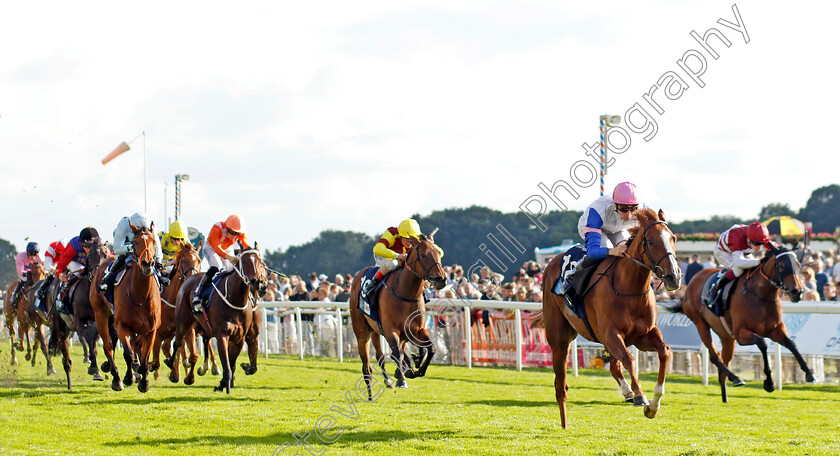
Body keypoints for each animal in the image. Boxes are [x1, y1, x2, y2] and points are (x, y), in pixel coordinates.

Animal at [94, 225, 162, 392]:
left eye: (154, 241)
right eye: (135, 242)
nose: (147, 264)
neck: (140, 296)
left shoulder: (150, 330)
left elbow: (144, 356)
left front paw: (144, 382)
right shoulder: (122, 326)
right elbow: (128, 354)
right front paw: (128, 378)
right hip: (100, 315)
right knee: (108, 346)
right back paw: (116, 378)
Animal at [169, 246, 264, 392]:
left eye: (261, 262)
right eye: (244, 261)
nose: (257, 282)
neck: (235, 298)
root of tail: (189, 278)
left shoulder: (241, 337)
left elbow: (235, 363)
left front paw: (225, 382)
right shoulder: (222, 334)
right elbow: (227, 364)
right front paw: (226, 385)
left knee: (203, 341)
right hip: (184, 322)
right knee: (178, 343)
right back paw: (173, 368)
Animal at [352, 235, 450, 400]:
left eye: (439, 253)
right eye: (423, 255)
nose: (440, 279)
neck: (406, 293)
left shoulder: (416, 330)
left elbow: (431, 348)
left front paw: (415, 370)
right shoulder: (391, 330)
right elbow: (397, 353)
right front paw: (403, 379)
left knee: (386, 355)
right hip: (362, 333)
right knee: (368, 366)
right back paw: (371, 392)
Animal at [540, 208, 684, 430]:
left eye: (673, 238)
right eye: (651, 242)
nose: (673, 277)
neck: (629, 288)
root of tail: (551, 263)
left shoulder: (642, 335)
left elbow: (664, 352)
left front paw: (653, 405)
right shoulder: (610, 334)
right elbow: (630, 359)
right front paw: (641, 396)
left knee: (614, 366)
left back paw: (627, 392)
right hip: (560, 339)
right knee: (560, 384)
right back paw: (564, 423)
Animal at [668, 244, 812, 400]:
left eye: (798, 265)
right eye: (781, 266)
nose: (797, 292)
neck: (760, 295)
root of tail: (691, 283)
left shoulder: (775, 330)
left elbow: (791, 344)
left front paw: (809, 374)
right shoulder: (741, 334)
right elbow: (763, 343)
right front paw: (769, 383)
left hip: (726, 336)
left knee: (723, 361)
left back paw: (725, 395)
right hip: (701, 324)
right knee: (714, 356)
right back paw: (736, 378)